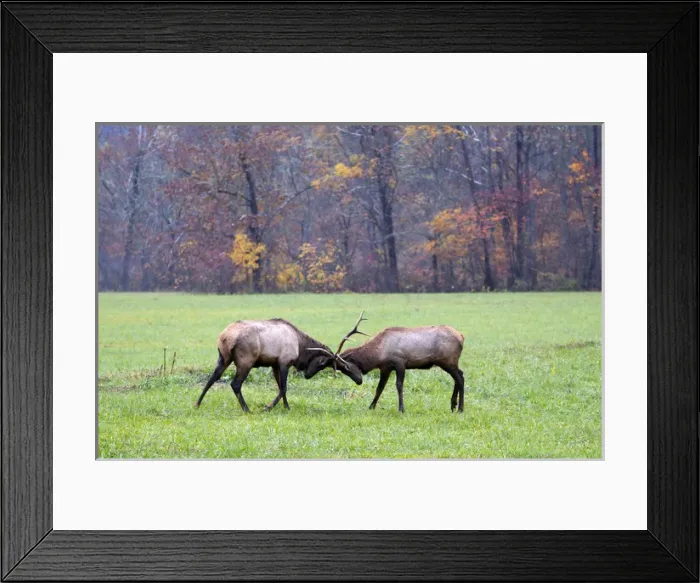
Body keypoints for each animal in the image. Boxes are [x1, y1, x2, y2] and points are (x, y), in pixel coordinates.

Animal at [195, 318, 341, 413]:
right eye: (321, 364)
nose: (307, 375)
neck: (300, 346)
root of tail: (225, 337)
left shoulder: (274, 365)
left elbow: (280, 387)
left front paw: (287, 407)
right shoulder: (284, 362)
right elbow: (284, 388)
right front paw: (268, 407)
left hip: (223, 358)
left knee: (212, 378)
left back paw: (197, 403)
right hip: (245, 361)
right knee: (235, 384)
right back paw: (247, 409)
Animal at [305, 312, 465, 413]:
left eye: (345, 368)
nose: (359, 381)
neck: (379, 353)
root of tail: (461, 337)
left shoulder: (400, 362)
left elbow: (399, 385)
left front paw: (401, 408)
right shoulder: (385, 367)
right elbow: (379, 388)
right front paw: (371, 406)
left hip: (447, 361)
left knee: (460, 378)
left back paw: (460, 408)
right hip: (451, 362)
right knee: (460, 375)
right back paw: (453, 405)